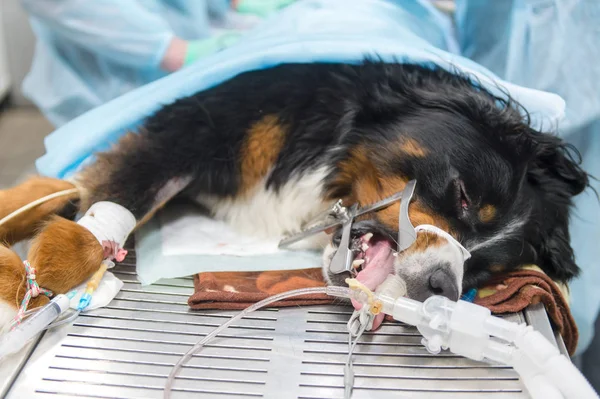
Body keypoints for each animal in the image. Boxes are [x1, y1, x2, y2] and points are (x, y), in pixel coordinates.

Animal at [0, 61, 592, 320]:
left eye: (484, 268)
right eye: (463, 195)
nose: (443, 285)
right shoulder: (196, 125)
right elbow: (125, 189)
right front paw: (64, 256)